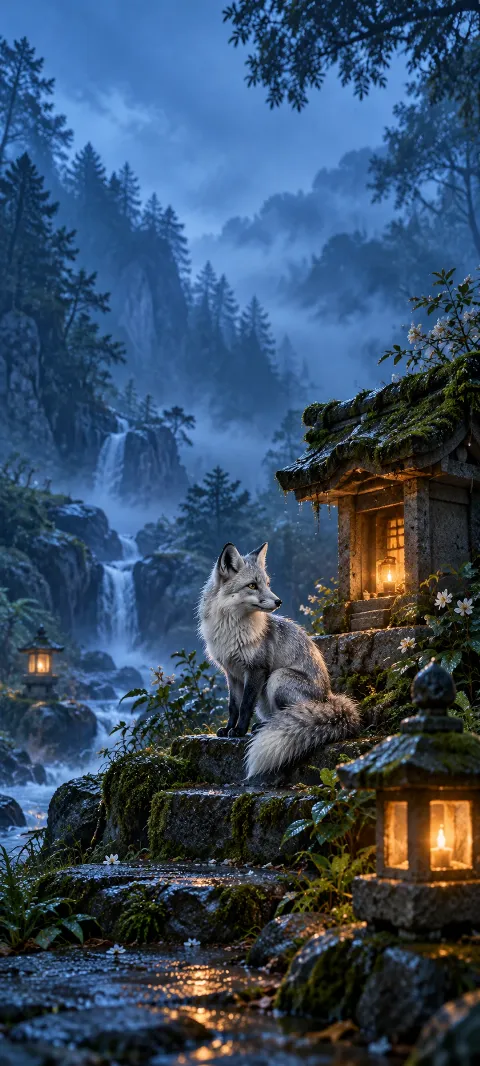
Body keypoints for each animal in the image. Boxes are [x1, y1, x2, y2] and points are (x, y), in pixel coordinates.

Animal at [198, 541, 360, 779]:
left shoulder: (256, 669)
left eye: (266, 583)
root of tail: (328, 697)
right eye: (252, 585)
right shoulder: (232, 673)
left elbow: (245, 705)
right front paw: (228, 729)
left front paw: (239, 731)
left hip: (277, 678)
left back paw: (264, 727)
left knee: (289, 713)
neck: (231, 630)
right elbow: (233, 706)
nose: (278, 601)